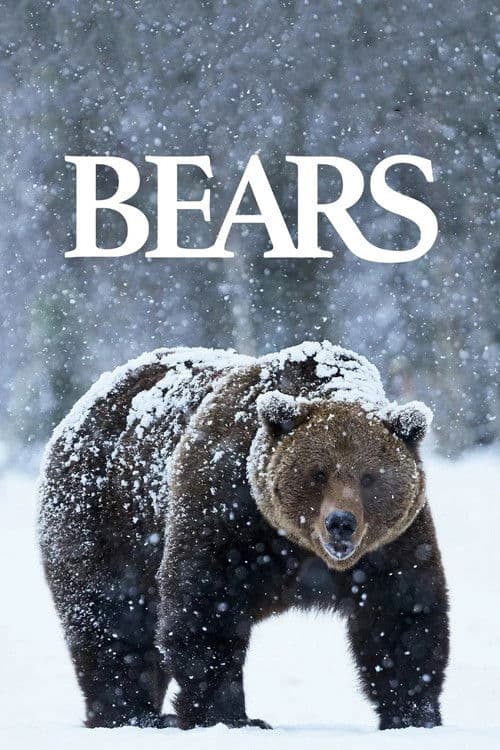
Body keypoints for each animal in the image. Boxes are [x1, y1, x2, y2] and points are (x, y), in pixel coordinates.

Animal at [38, 341, 449, 731]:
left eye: (369, 478)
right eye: (318, 473)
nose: (341, 523)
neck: (298, 546)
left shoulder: (392, 544)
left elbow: (403, 616)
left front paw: (413, 714)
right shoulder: (226, 511)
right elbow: (205, 607)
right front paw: (230, 715)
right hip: (104, 520)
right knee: (112, 621)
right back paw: (130, 714)